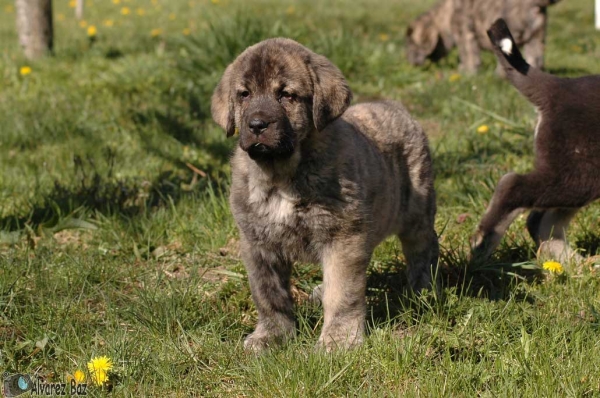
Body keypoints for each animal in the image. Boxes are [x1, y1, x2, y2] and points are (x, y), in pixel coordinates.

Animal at [213, 38, 438, 352]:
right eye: (244, 94)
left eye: (286, 95)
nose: (257, 125)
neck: (281, 175)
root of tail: (394, 107)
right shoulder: (257, 243)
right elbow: (268, 294)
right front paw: (272, 335)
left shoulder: (342, 238)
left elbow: (342, 293)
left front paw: (338, 341)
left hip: (417, 211)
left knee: (423, 249)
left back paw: (423, 291)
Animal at [408, 0, 564, 73]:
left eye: (411, 45)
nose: (412, 64)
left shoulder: (465, 33)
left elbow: (468, 55)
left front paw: (467, 72)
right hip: (537, 37)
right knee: (536, 60)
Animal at [472, 19, 600, 264]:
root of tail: (558, 87)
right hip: (580, 173)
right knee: (512, 185)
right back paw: (482, 243)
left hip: (573, 172)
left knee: (541, 221)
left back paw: (574, 264)